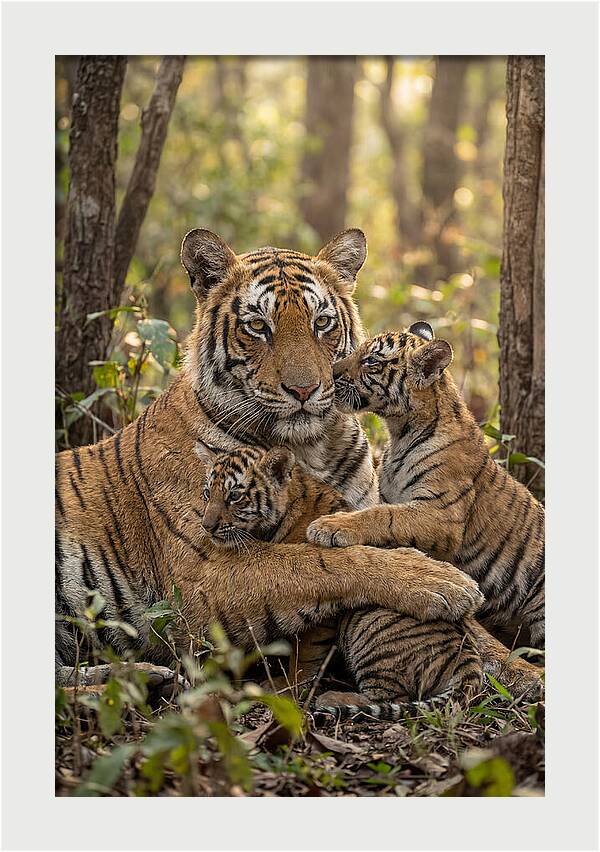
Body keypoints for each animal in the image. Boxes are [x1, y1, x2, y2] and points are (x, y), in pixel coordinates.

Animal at [195, 441, 484, 709]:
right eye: (207, 493)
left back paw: (334, 698)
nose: (206, 527)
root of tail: (467, 659)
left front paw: (288, 688)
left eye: (235, 496)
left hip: (370, 626)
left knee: (391, 696)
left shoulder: (322, 610)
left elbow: (306, 654)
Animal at [307, 321, 545, 652]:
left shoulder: (442, 513)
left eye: (371, 361)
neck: (399, 432)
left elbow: (385, 516)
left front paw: (330, 526)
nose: (330, 372)